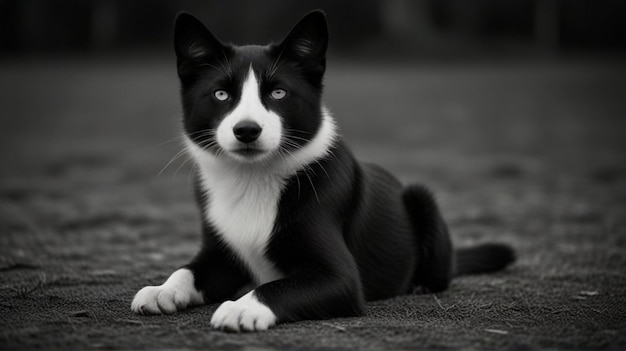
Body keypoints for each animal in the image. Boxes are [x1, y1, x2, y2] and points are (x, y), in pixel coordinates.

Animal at [129, 10, 516, 332]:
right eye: (221, 94)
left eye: (279, 93)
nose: (247, 130)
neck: (253, 177)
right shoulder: (220, 253)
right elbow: (187, 269)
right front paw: (161, 289)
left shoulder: (339, 278)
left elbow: (274, 286)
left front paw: (240, 308)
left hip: (422, 201)